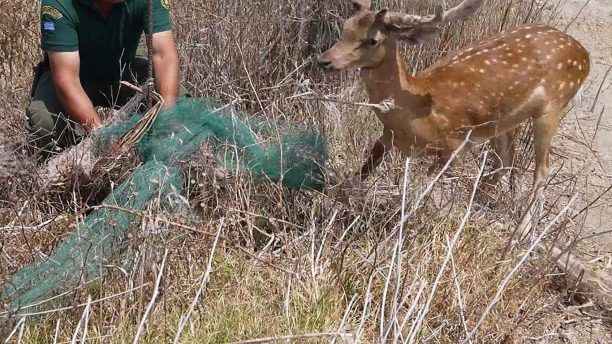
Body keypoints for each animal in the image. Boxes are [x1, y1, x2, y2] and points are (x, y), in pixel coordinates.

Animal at [316, 0, 588, 231]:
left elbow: (417, 193)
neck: (416, 113)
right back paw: (474, 204)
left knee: (542, 169)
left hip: (553, 107)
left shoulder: (455, 145)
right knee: (505, 160)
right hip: (502, 122)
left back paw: (519, 234)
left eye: (372, 40)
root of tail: (584, 54)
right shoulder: (386, 136)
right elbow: (359, 174)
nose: (323, 60)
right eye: (345, 26)